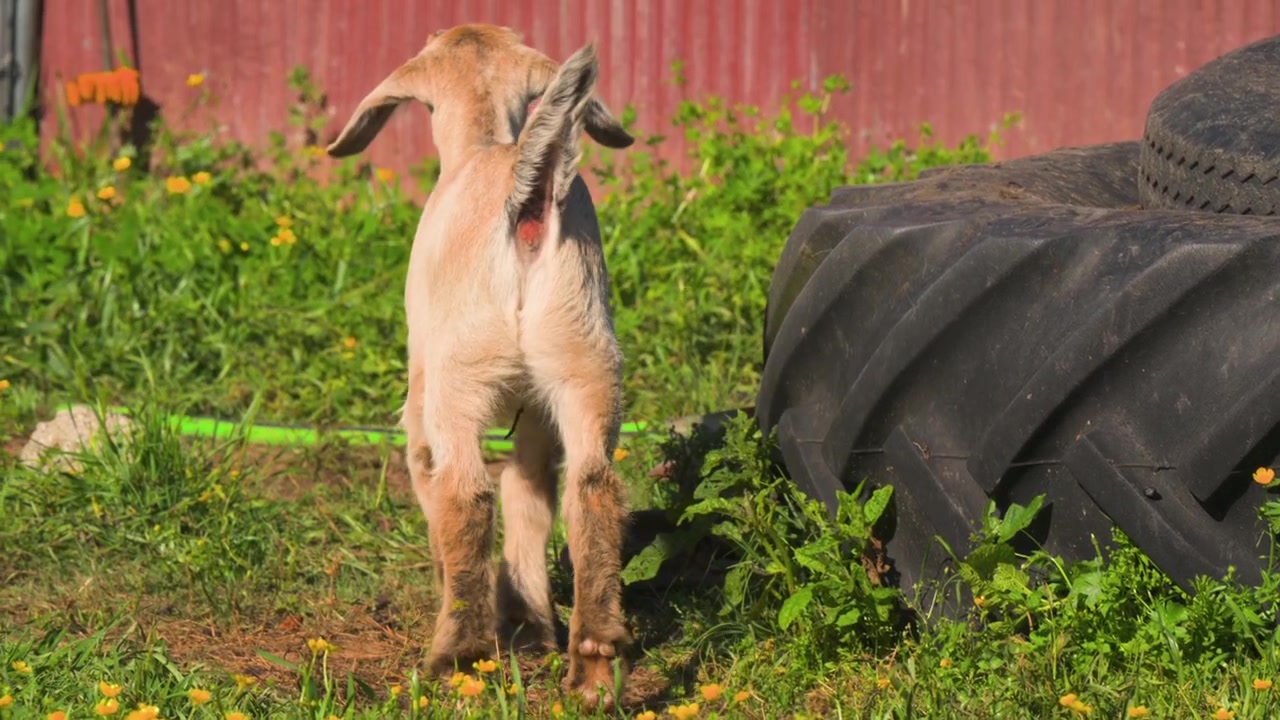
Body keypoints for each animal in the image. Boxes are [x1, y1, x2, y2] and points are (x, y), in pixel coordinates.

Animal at [326, 25, 635, 708]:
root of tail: (529, 201)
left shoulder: (423, 397)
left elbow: (437, 493)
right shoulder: (539, 419)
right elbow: (529, 497)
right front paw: (530, 624)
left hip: (457, 381)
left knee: (467, 494)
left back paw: (456, 654)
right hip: (584, 361)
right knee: (590, 489)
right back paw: (591, 665)